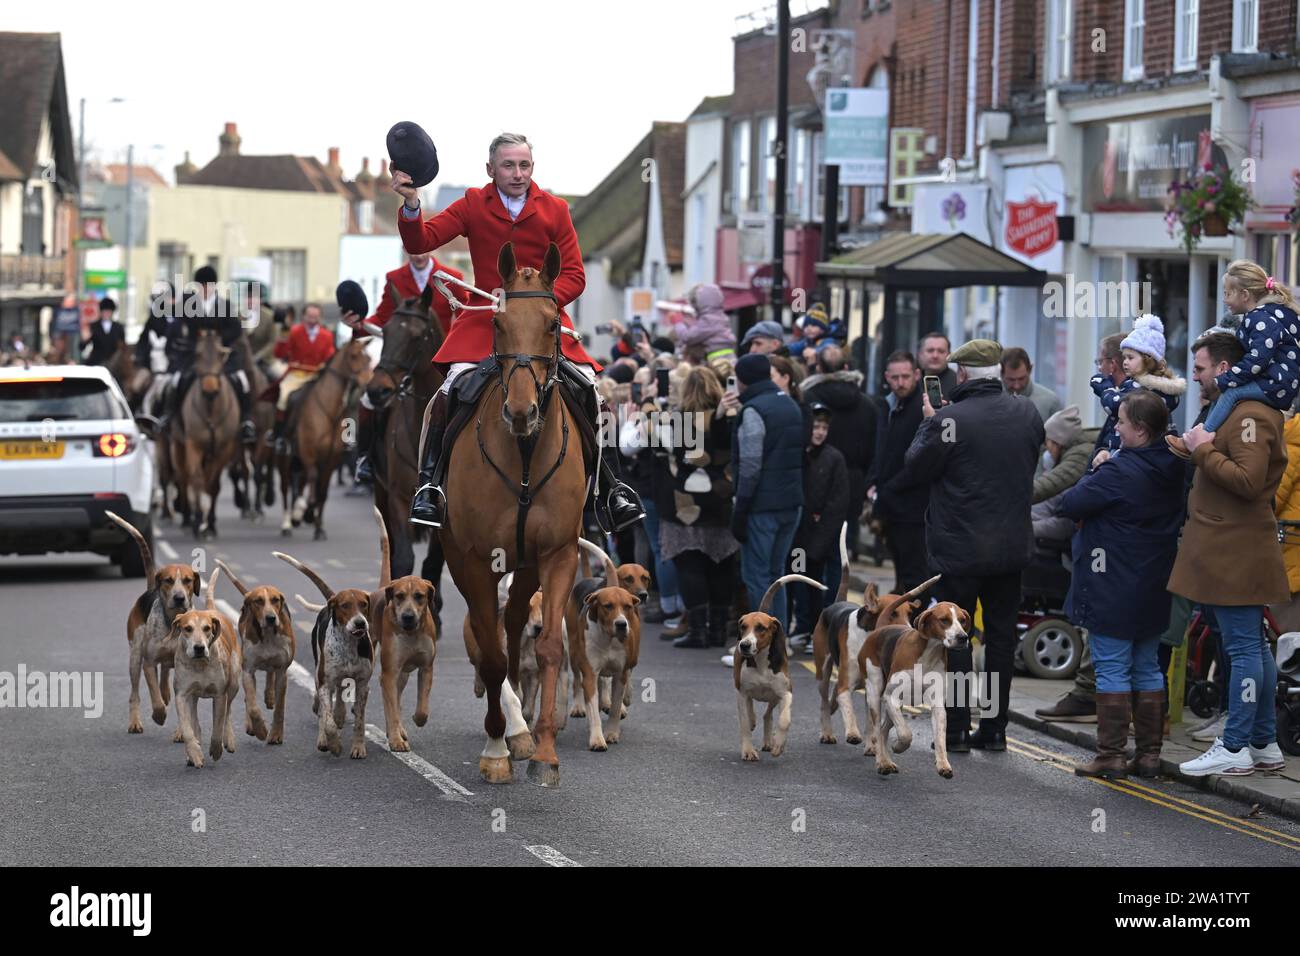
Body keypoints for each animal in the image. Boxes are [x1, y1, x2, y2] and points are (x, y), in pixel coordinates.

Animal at [170, 330, 239, 538]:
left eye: (220, 354)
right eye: (198, 354)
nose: (210, 390)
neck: (210, 410)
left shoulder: (224, 448)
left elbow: (214, 485)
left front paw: (210, 524)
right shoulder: (193, 445)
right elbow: (196, 480)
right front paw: (198, 518)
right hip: (178, 446)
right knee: (184, 478)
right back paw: (187, 518)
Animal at [278, 340, 374, 541]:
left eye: (369, 358)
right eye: (354, 356)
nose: (369, 383)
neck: (328, 410)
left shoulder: (331, 460)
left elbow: (322, 492)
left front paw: (318, 527)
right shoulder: (309, 453)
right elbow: (314, 483)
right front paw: (306, 513)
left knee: (300, 482)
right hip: (284, 459)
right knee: (285, 488)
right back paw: (287, 524)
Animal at [364, 283, 449, 595]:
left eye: (415, 336)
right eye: (385, 332)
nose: (377, 391)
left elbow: (432, 564)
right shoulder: (399, 497)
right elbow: (402, 558)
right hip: (380, 493)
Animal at [441, 243, 585, 790]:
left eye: (553, 322)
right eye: (497, 323)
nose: (521, 412)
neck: (524, 452)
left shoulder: (559, 554)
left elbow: (547, 649)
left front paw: (544, 752)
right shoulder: (476, 560)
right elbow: (493, 654)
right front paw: (496, 750)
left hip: (525, 568)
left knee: (517, 619)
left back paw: (523, 731)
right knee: (495, 641)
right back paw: (506, 732)